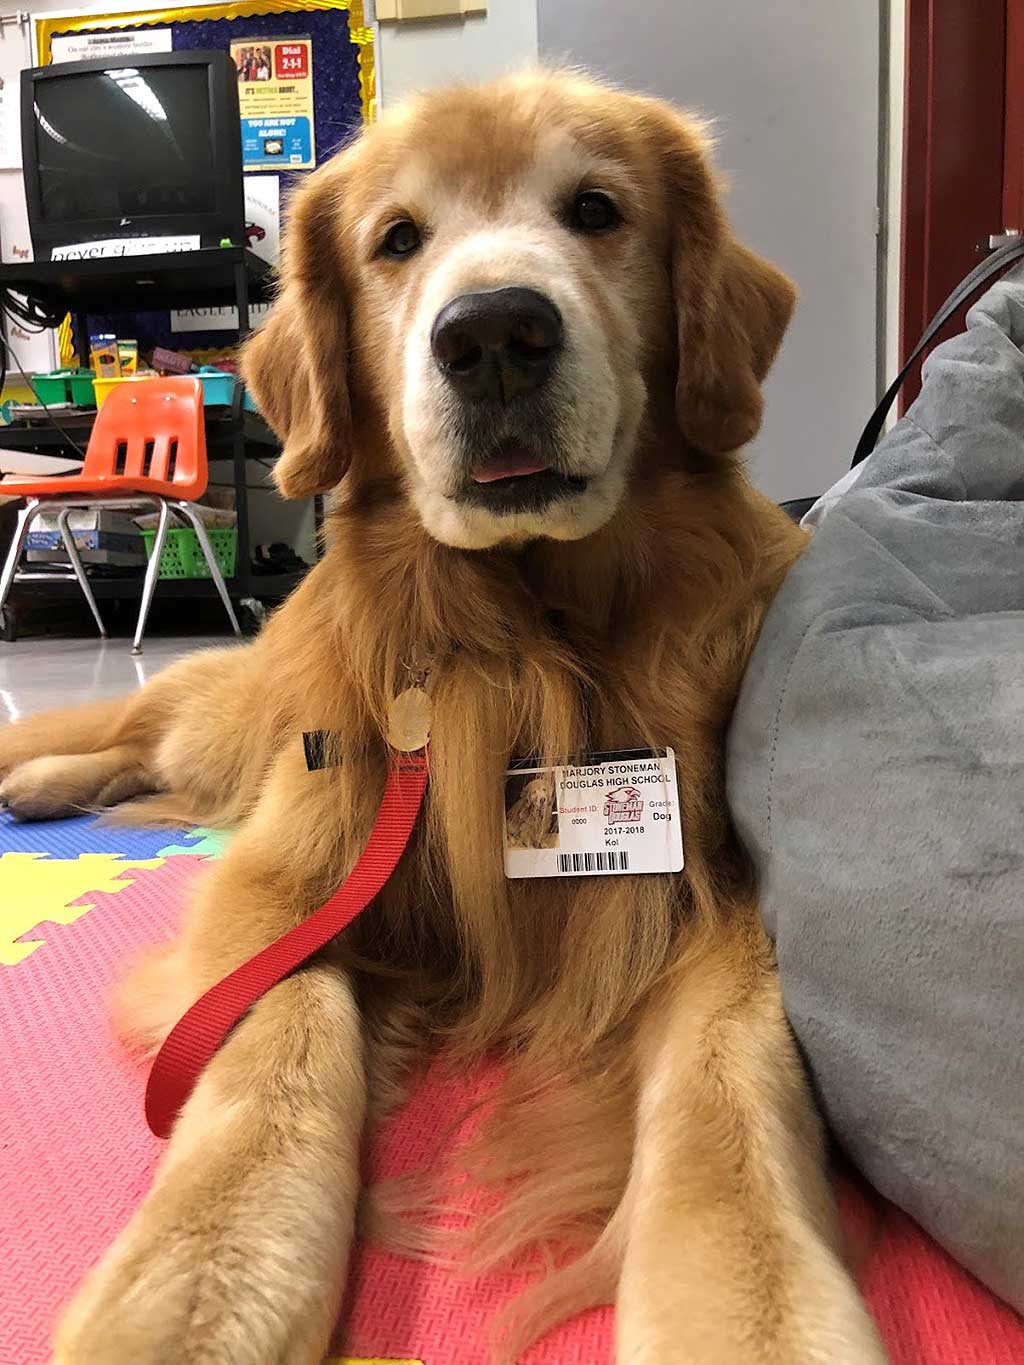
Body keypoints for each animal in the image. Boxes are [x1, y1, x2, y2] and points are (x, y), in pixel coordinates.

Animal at [0, 72, 884, 1365]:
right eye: (397, 241)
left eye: (596, 210)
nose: (494, 335)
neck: (520, 639)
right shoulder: (288, 874)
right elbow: (282, 1045)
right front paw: (197, 1282)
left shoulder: (721, 906)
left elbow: (730, 1097)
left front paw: (753, 1314)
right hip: (233, 715)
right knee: (133, 732)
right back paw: (31, 778)